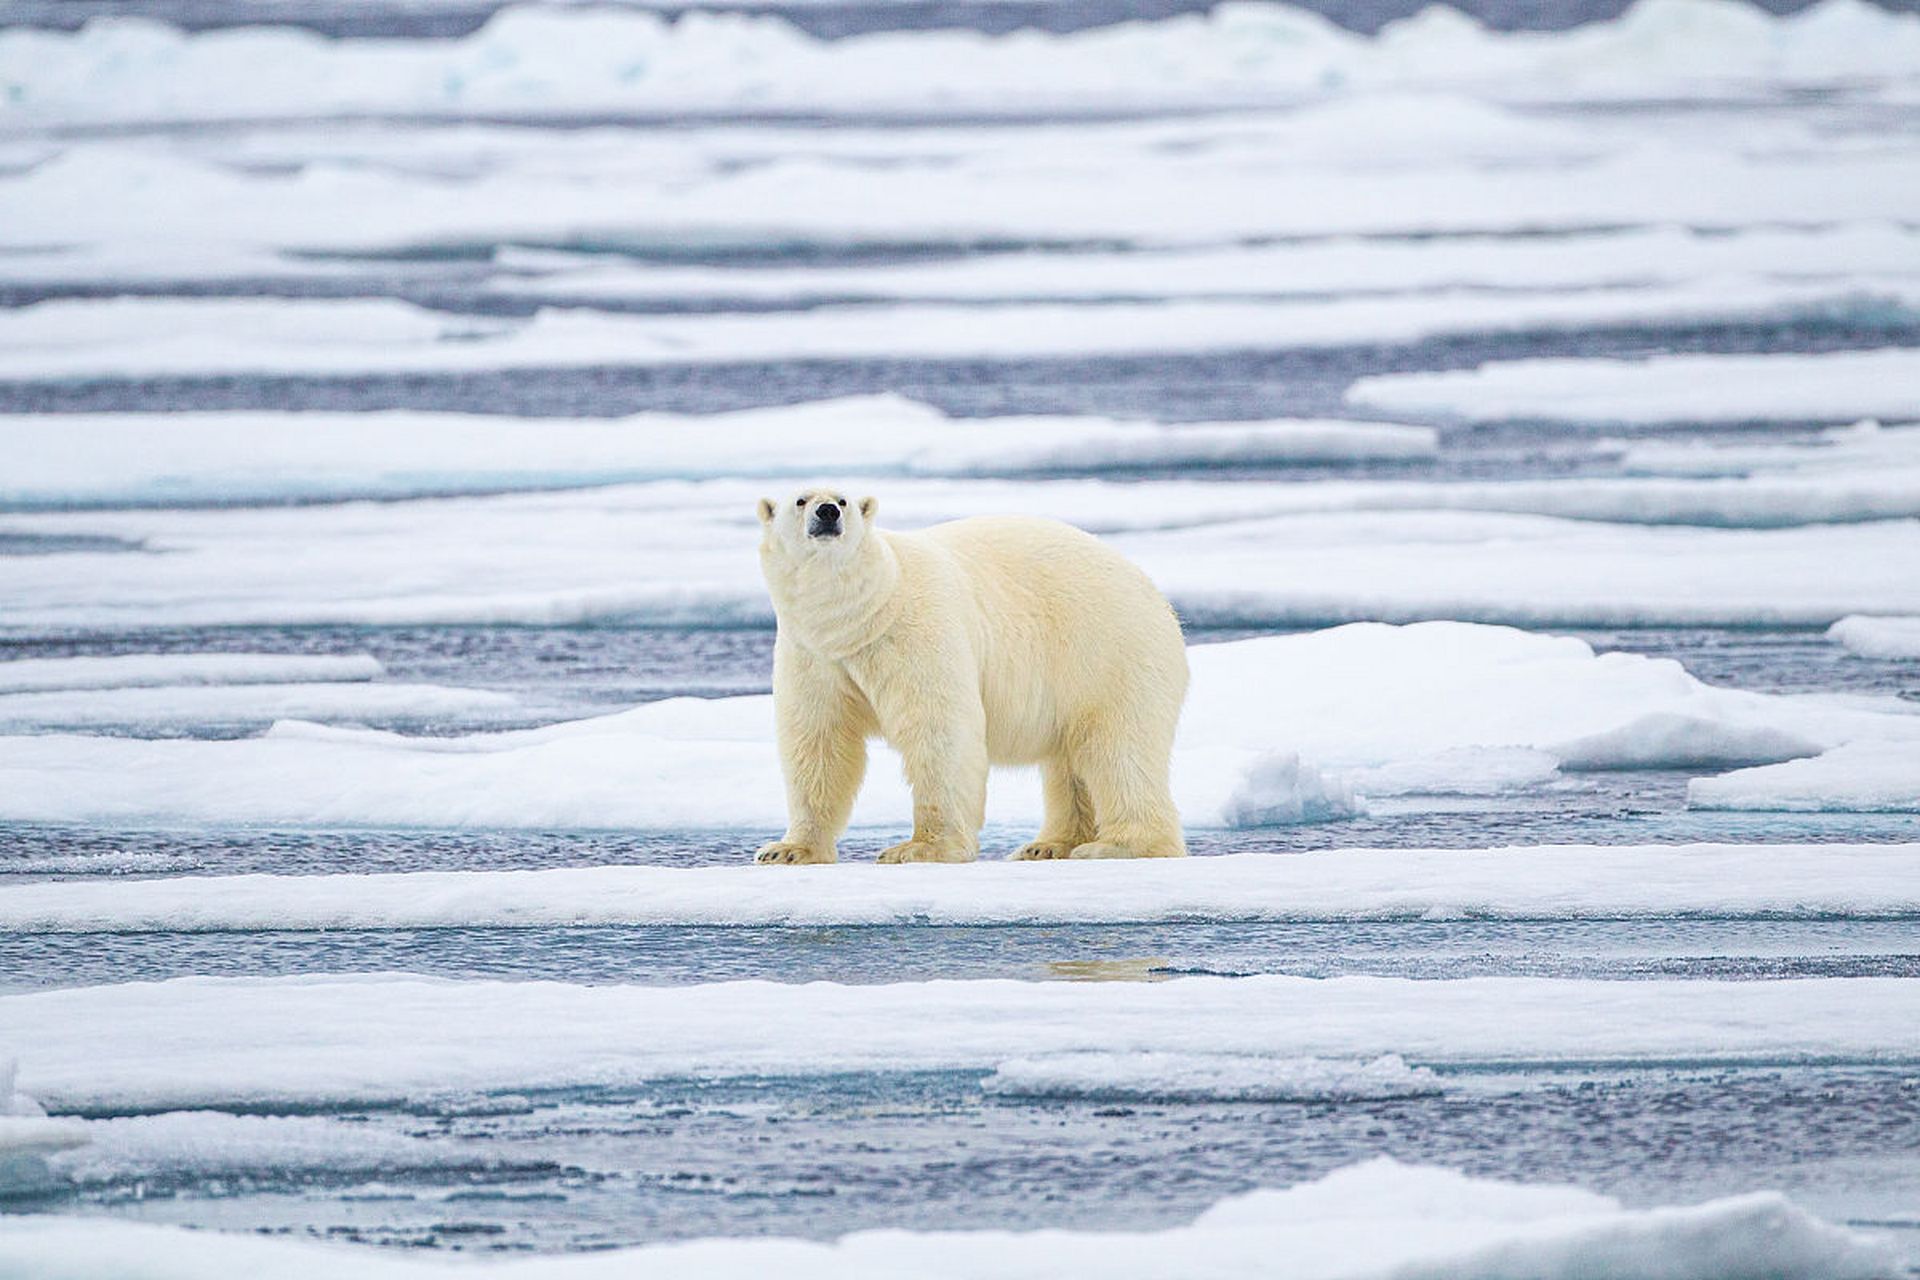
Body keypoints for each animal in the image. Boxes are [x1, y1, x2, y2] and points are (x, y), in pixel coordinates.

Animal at [748, 485, 1182, 867]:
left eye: (843, 501)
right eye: (800, 499)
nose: (827, 513)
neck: (865, 616)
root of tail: (1158, 599)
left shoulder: (917, 633)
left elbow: (939, 730)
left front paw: (919, 849)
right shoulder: (814, 655)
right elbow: (818, 742)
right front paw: (786, 850)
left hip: (1108, 655)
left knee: (1117, 751)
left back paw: (1118, 845)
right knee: (1070, 763)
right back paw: (1048, 845)